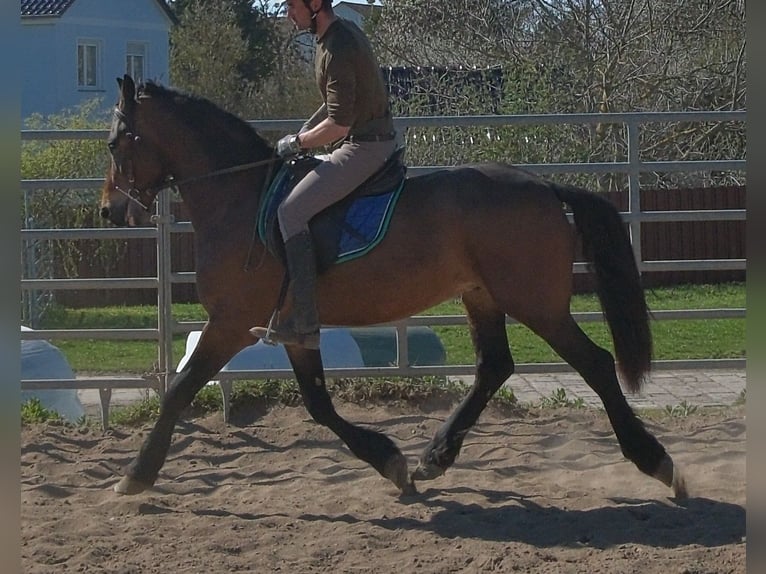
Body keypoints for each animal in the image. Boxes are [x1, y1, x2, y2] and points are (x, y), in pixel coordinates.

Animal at [100, 75, 686, 499]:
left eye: (114, 142)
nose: (109, 211)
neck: (240, 198)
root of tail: (542, 184)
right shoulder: (291, 329)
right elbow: (318, 404)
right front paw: (392, 463)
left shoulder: (228, 323)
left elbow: (179, 390)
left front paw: (137, 474)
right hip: (482, 297)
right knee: (494, 368)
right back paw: (434, 459)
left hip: (537, 304)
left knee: (595, 364)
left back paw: (657, 462)